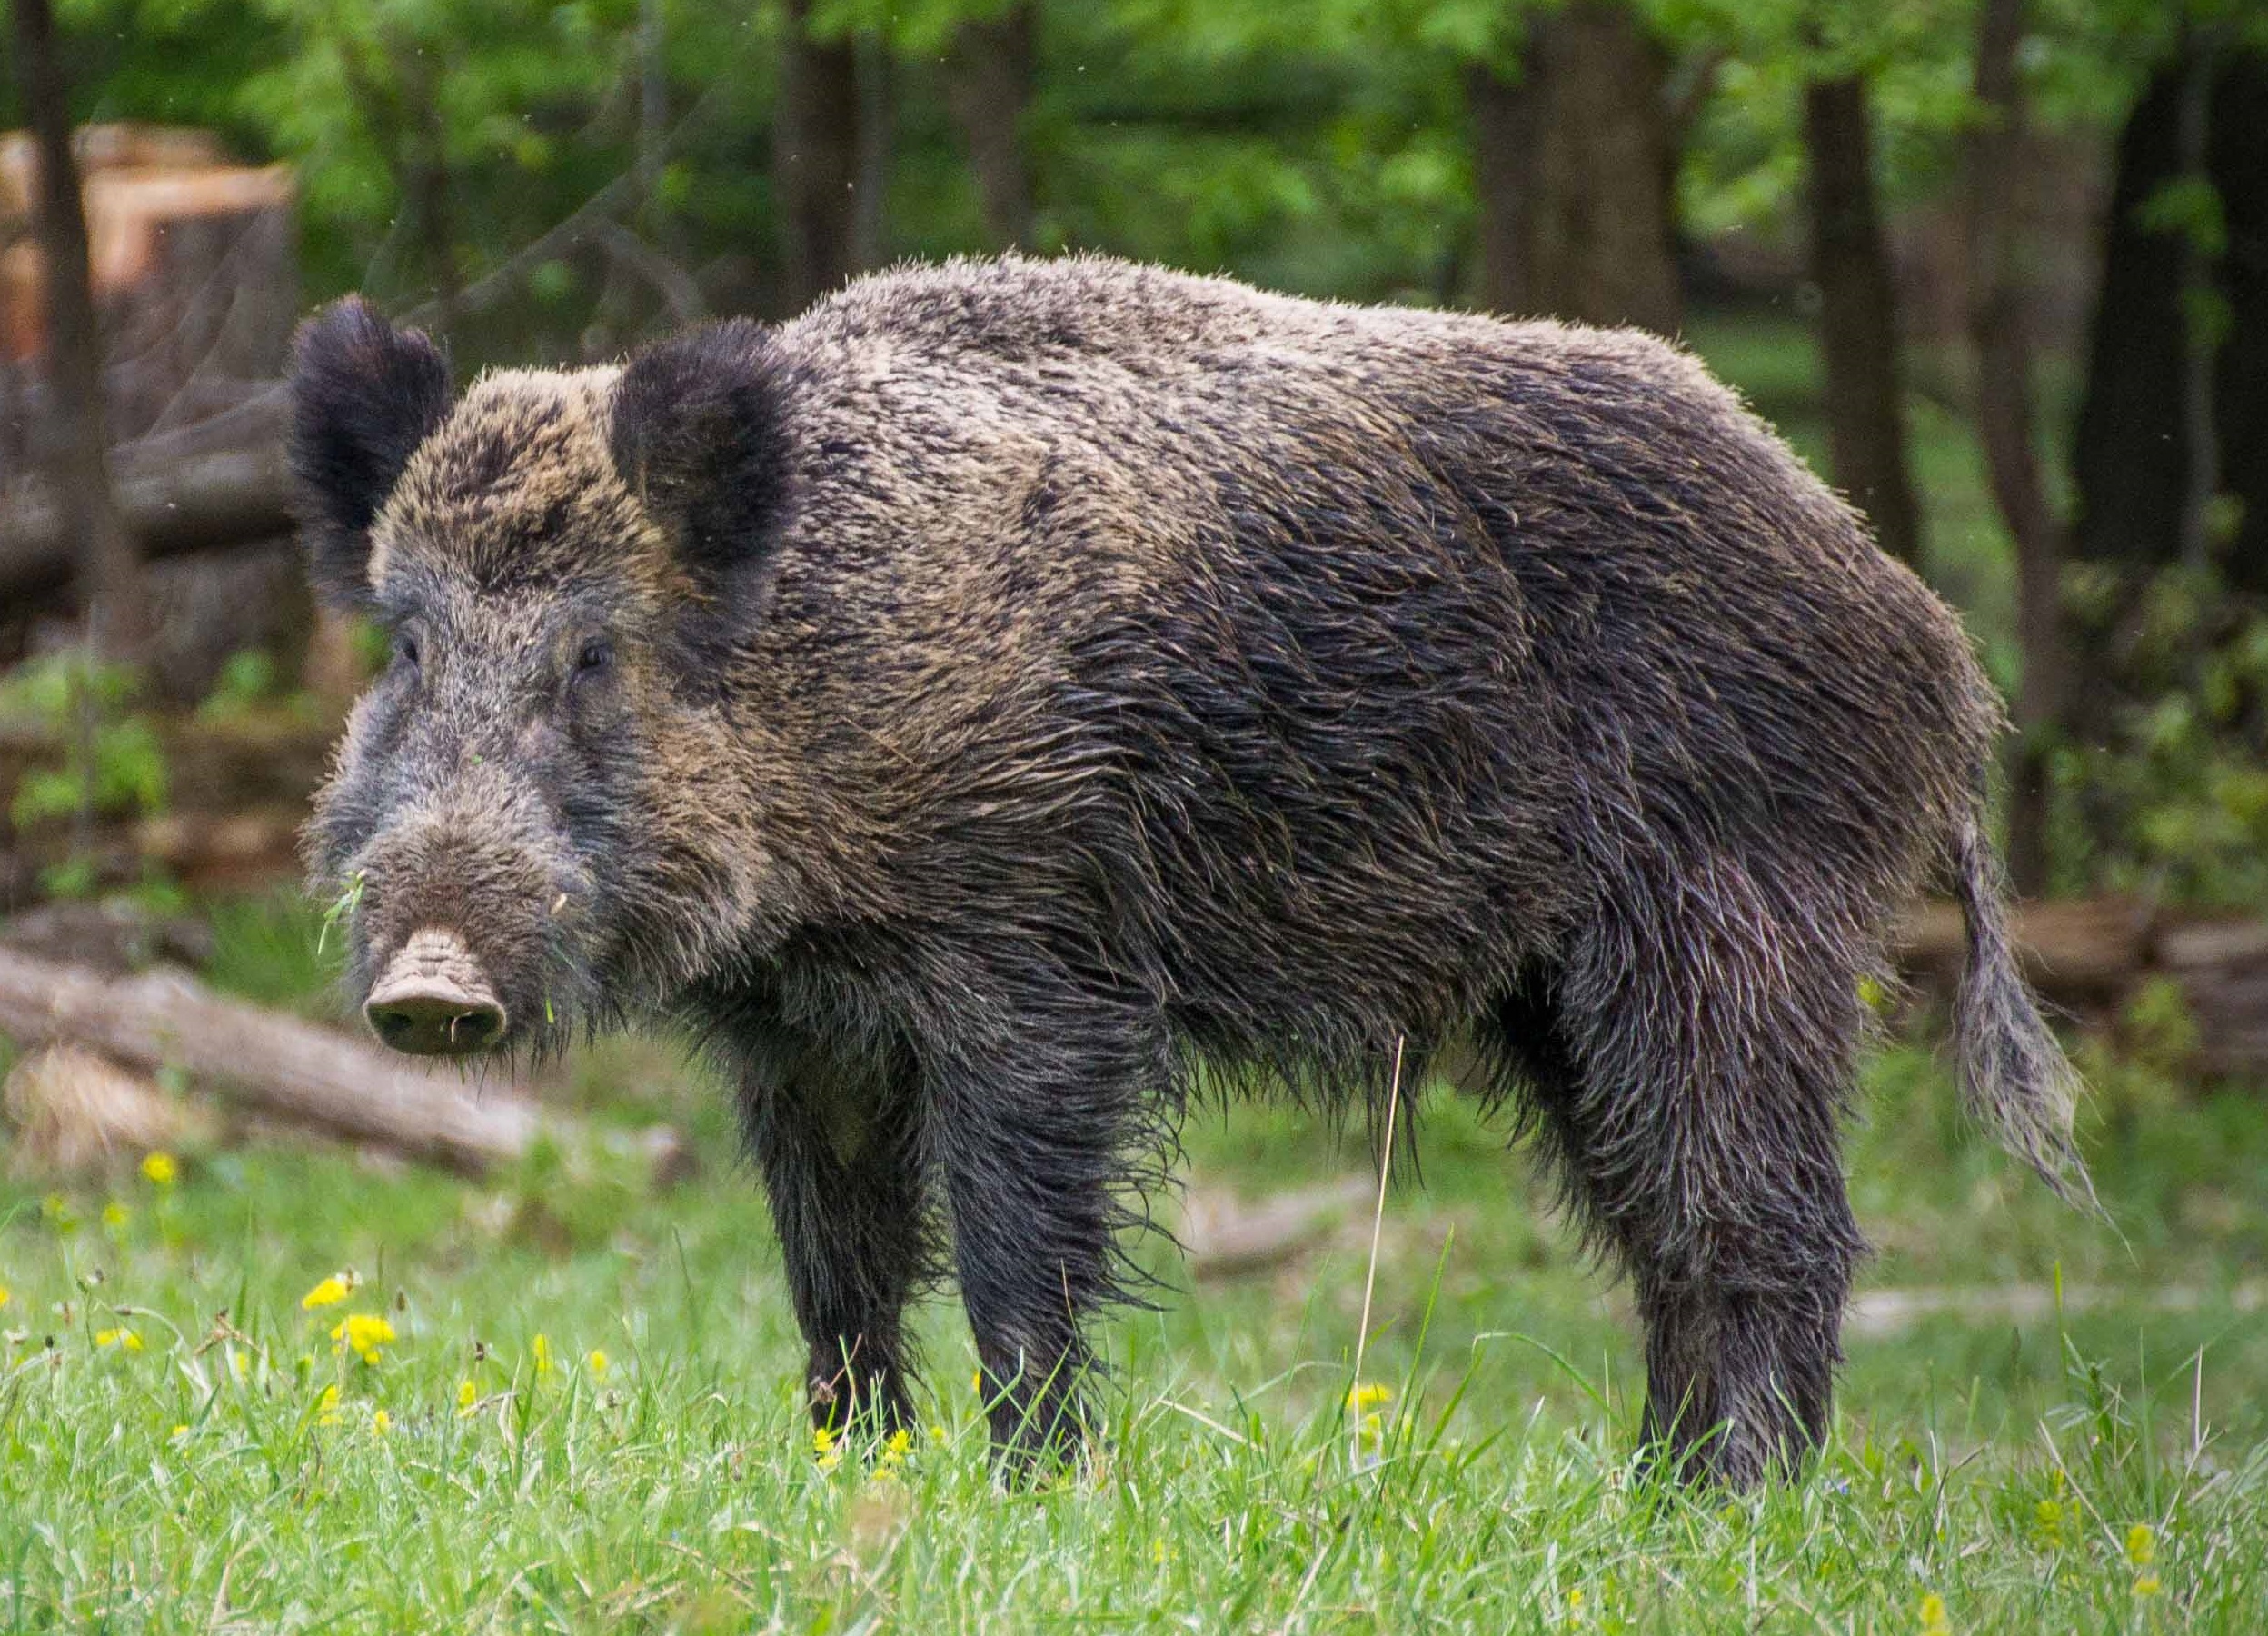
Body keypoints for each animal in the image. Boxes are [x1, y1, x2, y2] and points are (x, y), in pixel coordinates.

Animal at [289, 253, 2086, 1486]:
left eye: (594, 654)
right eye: (405, 644)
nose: (429, 985)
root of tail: (1927, 638)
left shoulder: (1035, 962)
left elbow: (1017, 1254)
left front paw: (1028, 1496)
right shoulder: (804, 1034)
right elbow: (836, 1269)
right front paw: (853, 1468)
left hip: (1733, 914)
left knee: (1765, 1221)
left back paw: (1727, 1509)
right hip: (1557, 994)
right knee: (1661, 1229)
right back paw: (1650, 1494)